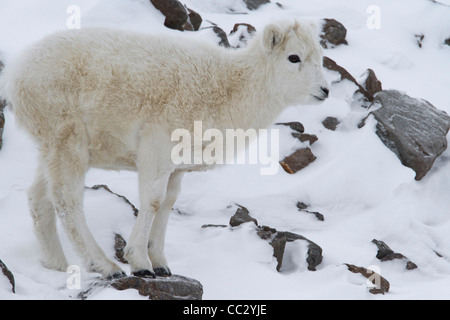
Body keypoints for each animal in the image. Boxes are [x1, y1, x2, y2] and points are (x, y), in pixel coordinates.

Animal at [0, 21, 330, 278]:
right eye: (294, 57)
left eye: (319, 56)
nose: (324, 91)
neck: (227, 90)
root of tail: (15, 76)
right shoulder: (156, 153)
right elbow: (153, 202)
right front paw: (140, 264)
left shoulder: (176, 169)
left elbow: (168, 204)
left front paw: (161, 265)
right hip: (68, 143)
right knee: (67, 201)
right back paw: (106, 267)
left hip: (51, 150)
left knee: (39, 198)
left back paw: (56, 266)